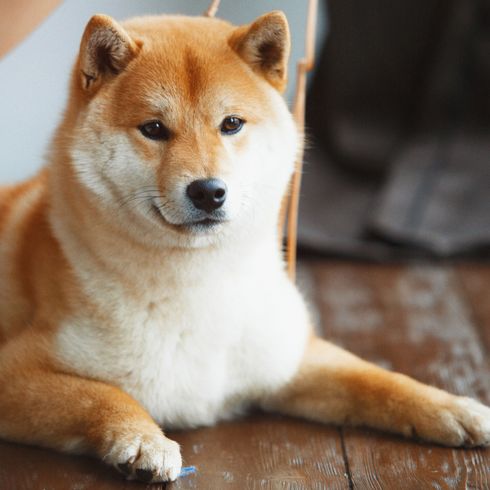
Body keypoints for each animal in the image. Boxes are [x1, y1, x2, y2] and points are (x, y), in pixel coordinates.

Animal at [0, 10, 490, 482]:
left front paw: (451, 406)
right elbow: (103, 396)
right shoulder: (16, 371)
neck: (200, 285)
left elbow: (377, 379)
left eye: (231, 124)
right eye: (154, 129)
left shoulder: (289, 358)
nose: (207, 191)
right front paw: (142, 441)